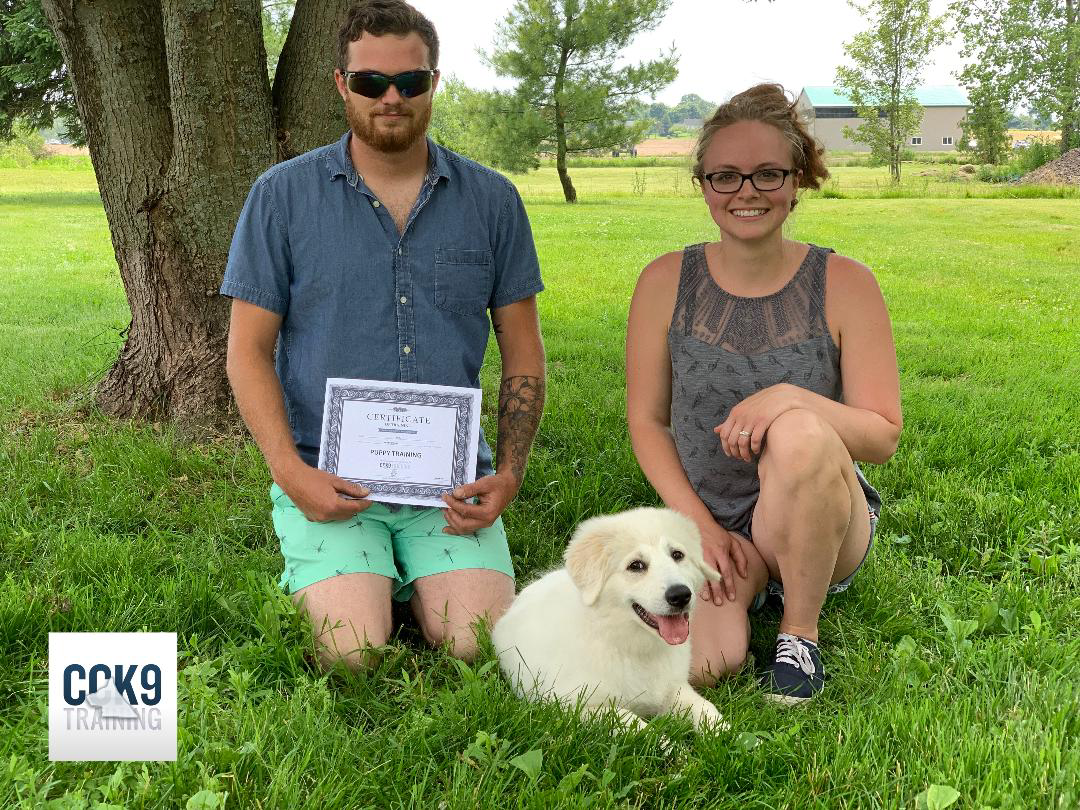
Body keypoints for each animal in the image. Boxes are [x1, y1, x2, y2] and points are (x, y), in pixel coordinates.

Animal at [494, 509, 730, 734]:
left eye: (677, 555)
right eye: (636, 565)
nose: (681, 595)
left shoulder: (675, 688)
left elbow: (706, 708)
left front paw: (729, 736)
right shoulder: (577, 707)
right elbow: (637, 725)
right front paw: (670, 747)